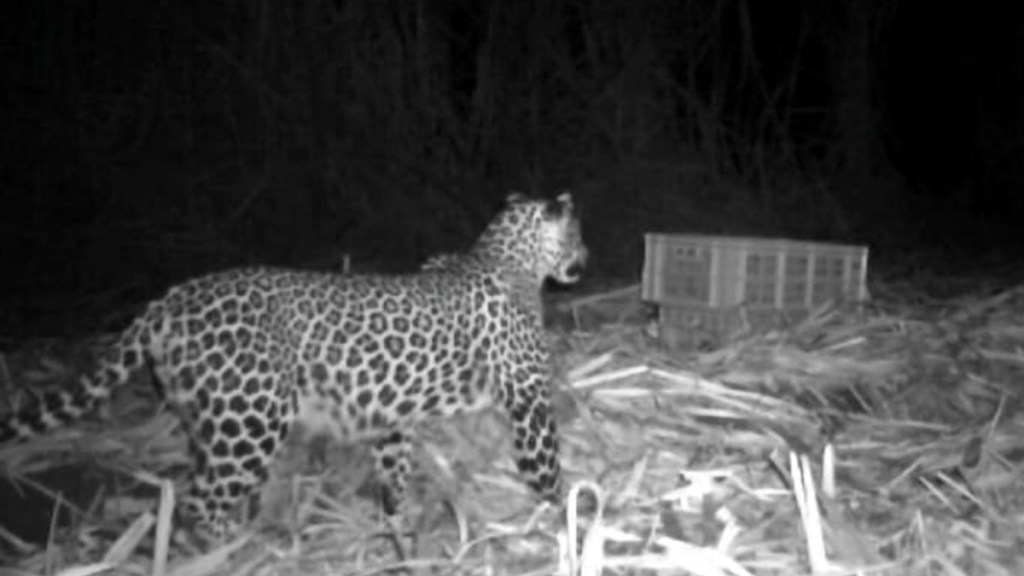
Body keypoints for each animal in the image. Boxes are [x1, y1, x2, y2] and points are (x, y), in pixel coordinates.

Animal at [0, 190, 589, 537]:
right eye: (578, 234)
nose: (588, 256)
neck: (508, 259)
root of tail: (168, 300)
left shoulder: (393, 414)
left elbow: (394, 471)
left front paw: (397, 526)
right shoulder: (530, 400)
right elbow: (547, 466)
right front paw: (565, 514)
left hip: (208, 421)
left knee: (200, 486)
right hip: (251, 422)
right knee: (198, 502)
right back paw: (236, 547)